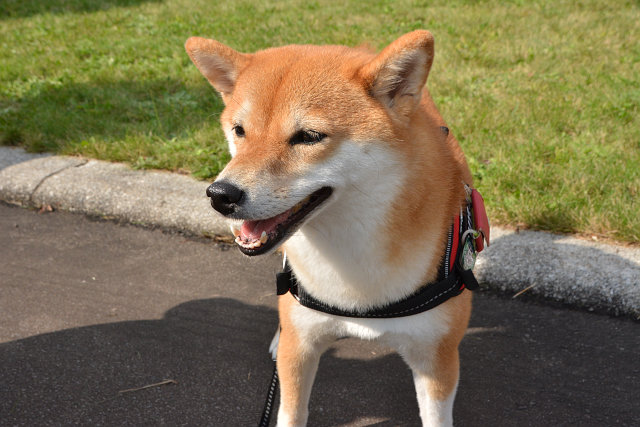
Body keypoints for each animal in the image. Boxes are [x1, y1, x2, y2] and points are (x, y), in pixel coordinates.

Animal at [185, 30, 484, 427]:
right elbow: (291, 411)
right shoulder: (301, 348)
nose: (220, 195)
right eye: (240, 131)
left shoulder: (436, 359)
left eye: (309, 136)